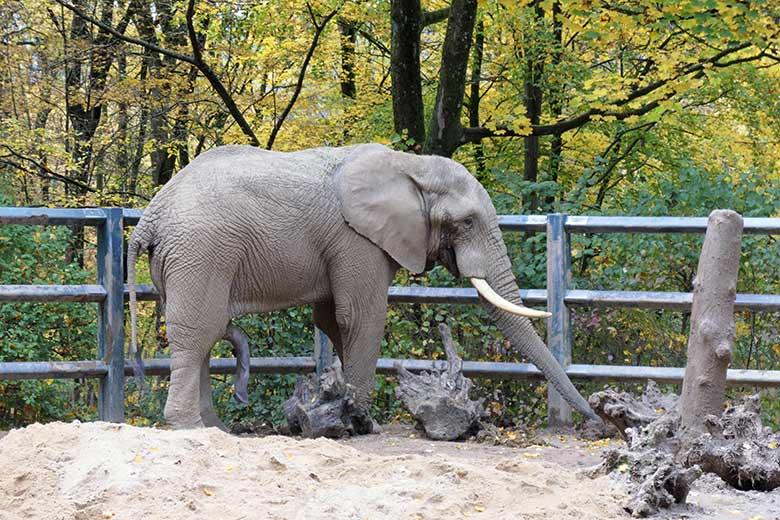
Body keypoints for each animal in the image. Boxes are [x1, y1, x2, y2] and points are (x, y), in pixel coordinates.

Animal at [128, 143, 600, 430]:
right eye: (466, 222)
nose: (596, 420)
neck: (411, 166)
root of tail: (150, 216)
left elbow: (332, 320)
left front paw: (350, 413)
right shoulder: (356, 239)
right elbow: (361, 316)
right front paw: (359, 422)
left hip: (185, 258)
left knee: (203, 335)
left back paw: (215, 428)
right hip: (200, 251)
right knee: (199, 332)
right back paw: (189, 427)